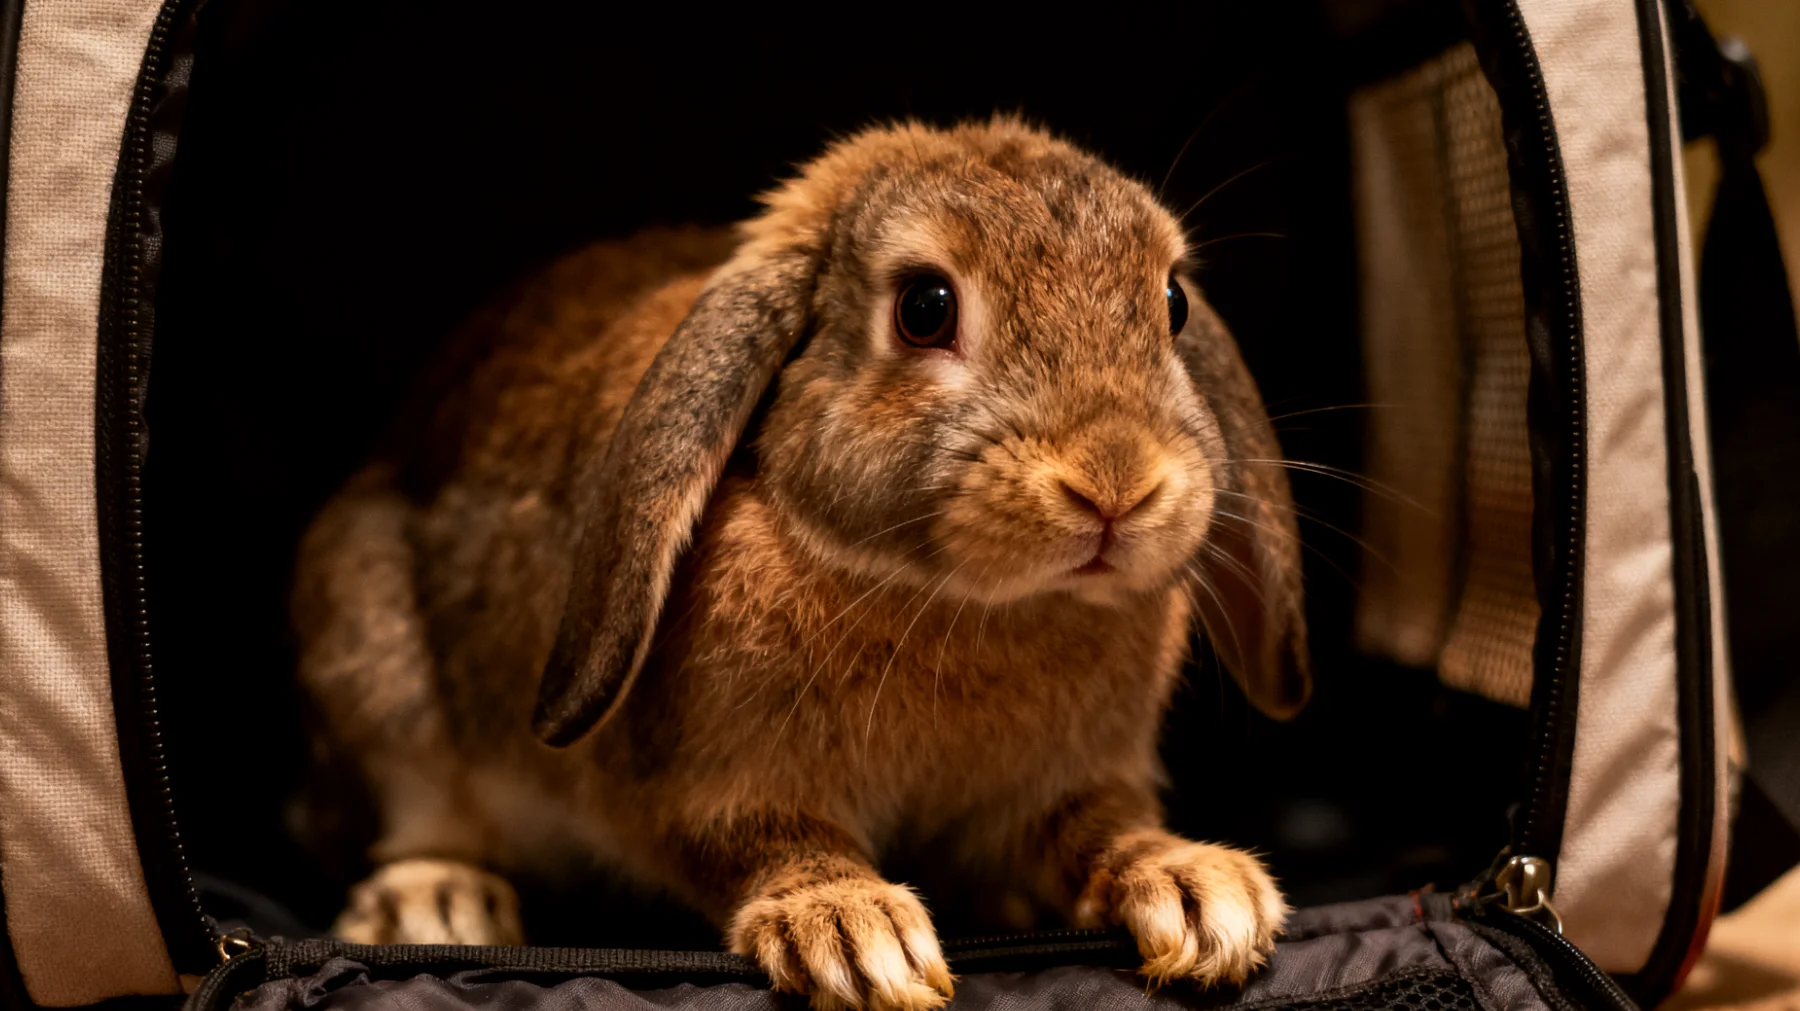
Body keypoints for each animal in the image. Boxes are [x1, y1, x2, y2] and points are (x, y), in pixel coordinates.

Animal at [292, 116, 1311, 1011]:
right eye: (926, 308)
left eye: (1172, 303)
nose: (1116, 482)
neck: (958, 599)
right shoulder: (700, 786)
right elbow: (763, 838)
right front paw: (856, 934)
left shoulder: (1062, 790)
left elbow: (1100, 828)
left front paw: (1197, 889)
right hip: (372, 656)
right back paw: (437, 900)